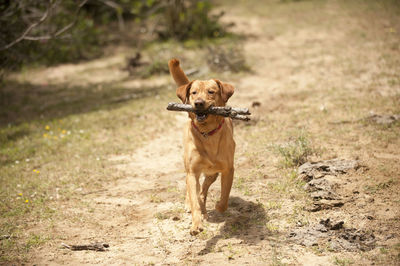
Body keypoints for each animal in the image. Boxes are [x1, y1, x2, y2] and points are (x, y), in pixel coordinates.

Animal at [168, 58, 236, 235]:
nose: (198, 103)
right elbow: (193, 197)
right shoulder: (192, 172)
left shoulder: (228, 169)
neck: (207, 133)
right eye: (194, 92)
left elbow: (225, 195)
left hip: (213, 173)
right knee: (193, 189)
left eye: (211, 92)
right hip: (190, 169)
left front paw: (219, 206)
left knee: (204, 188)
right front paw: (196, 224)